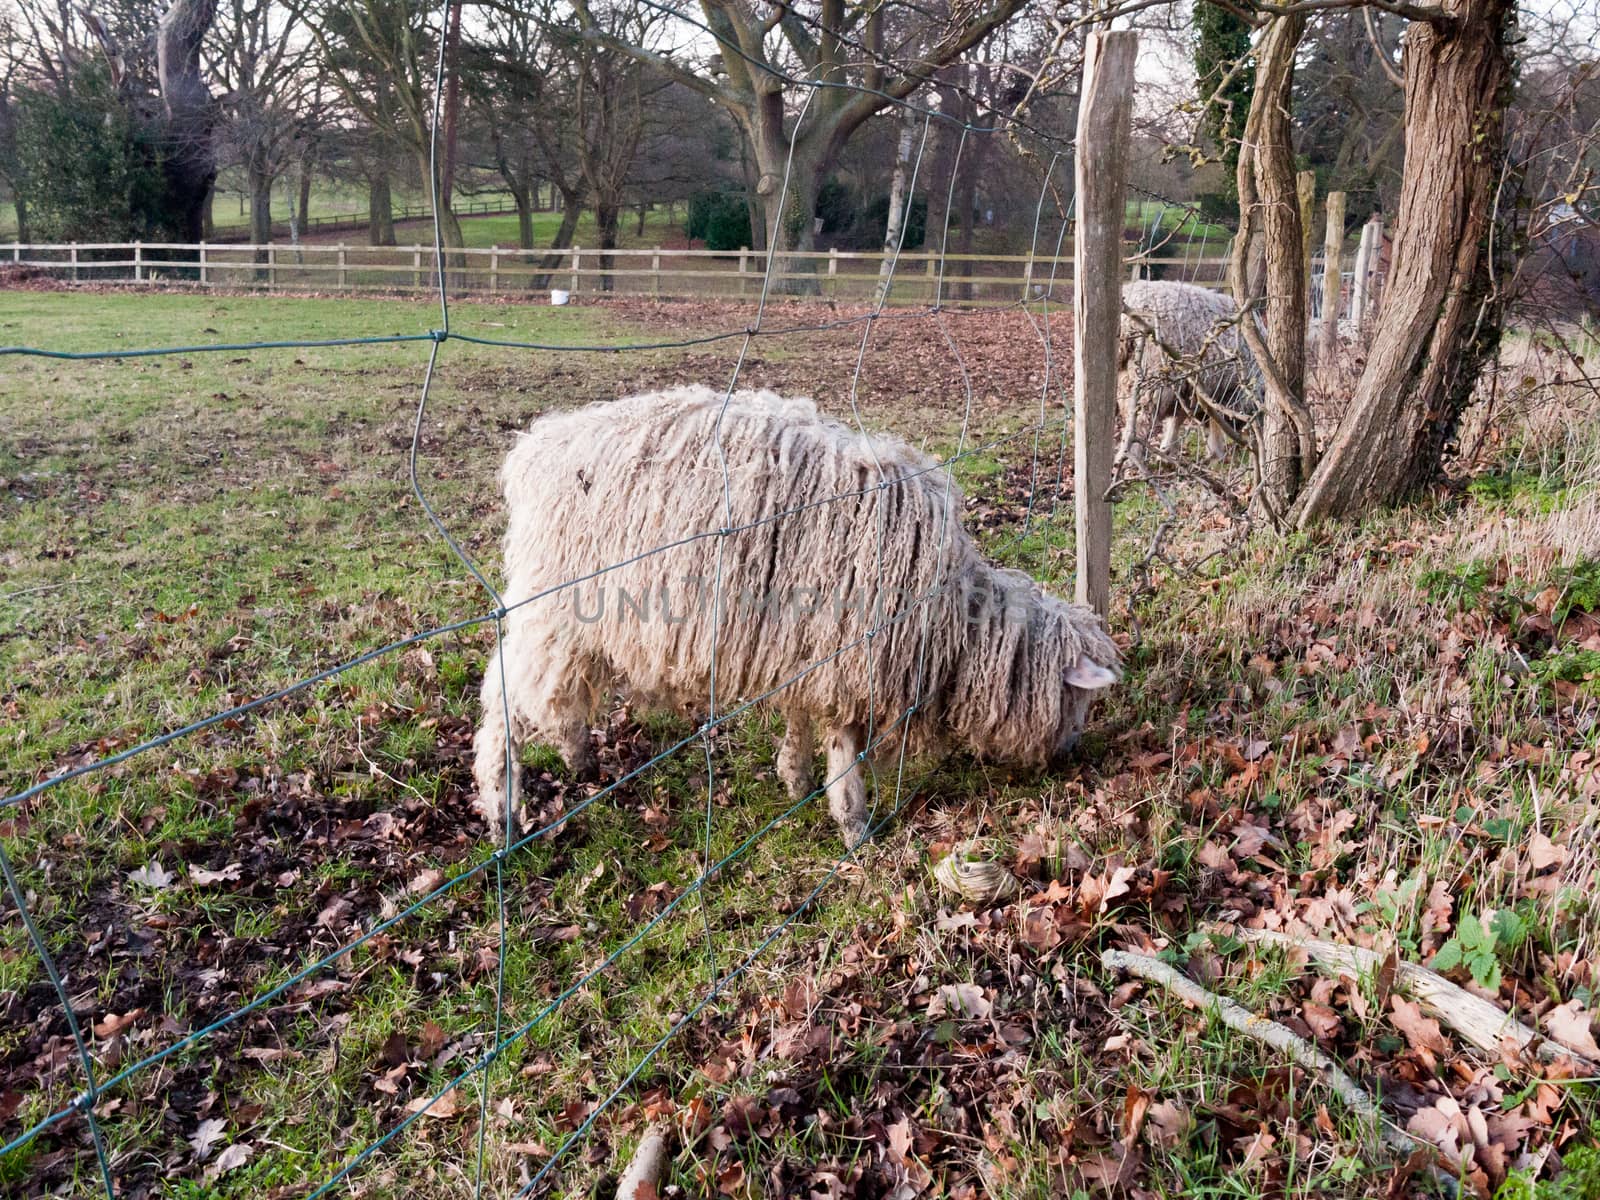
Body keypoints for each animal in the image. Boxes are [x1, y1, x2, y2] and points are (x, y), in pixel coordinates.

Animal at [473, 385, 1120, 844]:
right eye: (1080, 699)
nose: (1073, 757)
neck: (956, 625)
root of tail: (537, 448)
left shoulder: (808, 651)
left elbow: (802, 721)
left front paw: (795, 775)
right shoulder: (851, 652)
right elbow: (844, 742)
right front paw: (853, 821)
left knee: (558, 698)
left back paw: (577, 755)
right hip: (556, 607)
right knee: (504, 697)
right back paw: (502, 810)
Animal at [1113, 283, 1260, 470]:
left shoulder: (1189, 390)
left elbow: (1178, 420)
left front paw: (1167, 452)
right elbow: (1215, 422)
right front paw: (1216, 455)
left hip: (1126, 378)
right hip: (1152, 380)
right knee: (1139, 422)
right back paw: (1131, 460)